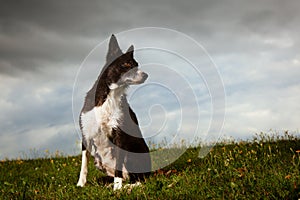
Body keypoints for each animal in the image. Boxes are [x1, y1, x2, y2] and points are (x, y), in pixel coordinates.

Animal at [77, 34, 151, 191]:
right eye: (127, 64)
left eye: (137, 65)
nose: (146, 75)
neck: (110, 95)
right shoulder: (86, 133)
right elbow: (83, 163)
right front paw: (80, 184)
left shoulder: (120, 134)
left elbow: (118, 166)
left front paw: (117, 189)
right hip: (99, 162)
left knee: (139, 179)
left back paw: (126, 187)